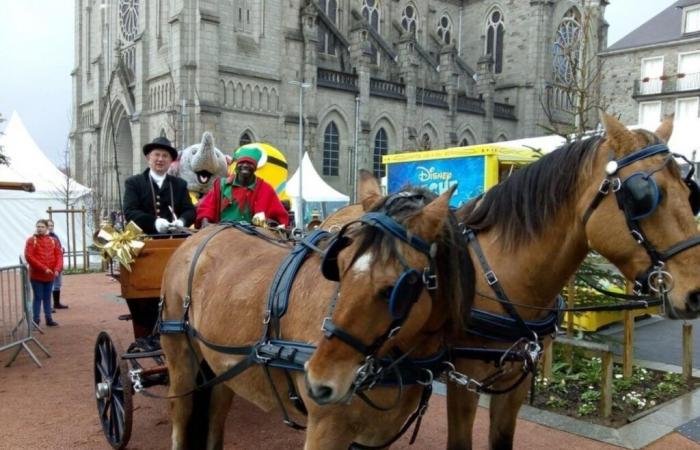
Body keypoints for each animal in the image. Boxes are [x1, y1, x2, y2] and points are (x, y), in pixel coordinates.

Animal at [161, 178, 474, 446]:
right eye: (340, 265)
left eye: (394, 289)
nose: (318, 381)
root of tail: (202, 234)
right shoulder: (326, 428)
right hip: (179, 353)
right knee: (180, 410)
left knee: (217, 408)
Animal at [318, 114, 700, 448]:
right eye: (644, 195)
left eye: (689, 191)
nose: (695, 293)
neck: (503, 278)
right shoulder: (464, 379)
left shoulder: (517, 380)